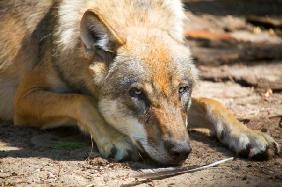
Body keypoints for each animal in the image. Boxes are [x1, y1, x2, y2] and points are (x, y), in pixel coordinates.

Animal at [0, 0, 278, 165]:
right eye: (136, 93)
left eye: (183, 90)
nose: (181, 151)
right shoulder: (24, 101)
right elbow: (82, 100)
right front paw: (115, 138)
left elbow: (213, 101)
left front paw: (248, 135)